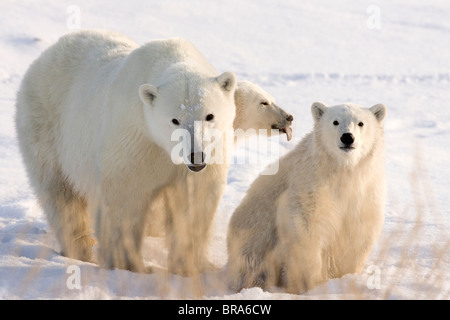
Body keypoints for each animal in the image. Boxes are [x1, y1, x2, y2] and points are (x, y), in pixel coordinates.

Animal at [15, 30, 237, 276]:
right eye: (174, 120)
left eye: (209, 115)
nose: (195, 155)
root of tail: (47, 54)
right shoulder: (136, 140)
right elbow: (126, 199)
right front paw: (130, 265)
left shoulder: (208, 155)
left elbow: (193, 200)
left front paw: (190, 266)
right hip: (46, 126)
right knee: (60, 194)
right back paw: (81, 250)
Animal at [229, 101, 386, 292]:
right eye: (335, 121)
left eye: (361, 123)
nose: (347, 137)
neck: (342, 170)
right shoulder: (311, 185)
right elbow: (307, 227)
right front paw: (311, 282)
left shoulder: (363, 192)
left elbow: (358, 230)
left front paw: (346, 277)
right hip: (253, 234)